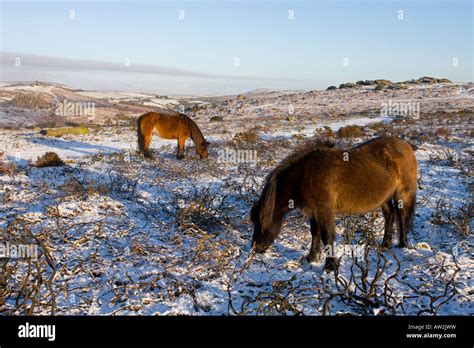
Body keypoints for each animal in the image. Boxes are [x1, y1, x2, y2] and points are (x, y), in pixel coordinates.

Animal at [250, 136, 416, 272]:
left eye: (260, 222)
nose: (256, 247)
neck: (305, 175)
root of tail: (406, 146)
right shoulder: (313, 211)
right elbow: (315, 233)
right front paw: (312, 258)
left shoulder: (325, 210)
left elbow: (326, 236)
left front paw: (330, 266)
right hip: (384, 198)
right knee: (390, 214)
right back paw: (385, 245)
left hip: (402, 194)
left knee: (401, 216)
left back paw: (403, 244)